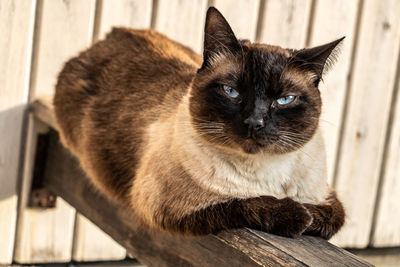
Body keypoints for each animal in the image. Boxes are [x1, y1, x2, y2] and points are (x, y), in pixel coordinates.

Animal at [54, 7, 346, 240]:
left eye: (284, 100)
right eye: (231, 92)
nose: (254, 122)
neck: (263, 175)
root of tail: (114, 33)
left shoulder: (327, 195)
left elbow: (329, 217)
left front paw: (307, 214)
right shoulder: (169, 207)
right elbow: (245, 203)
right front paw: (297, 216)